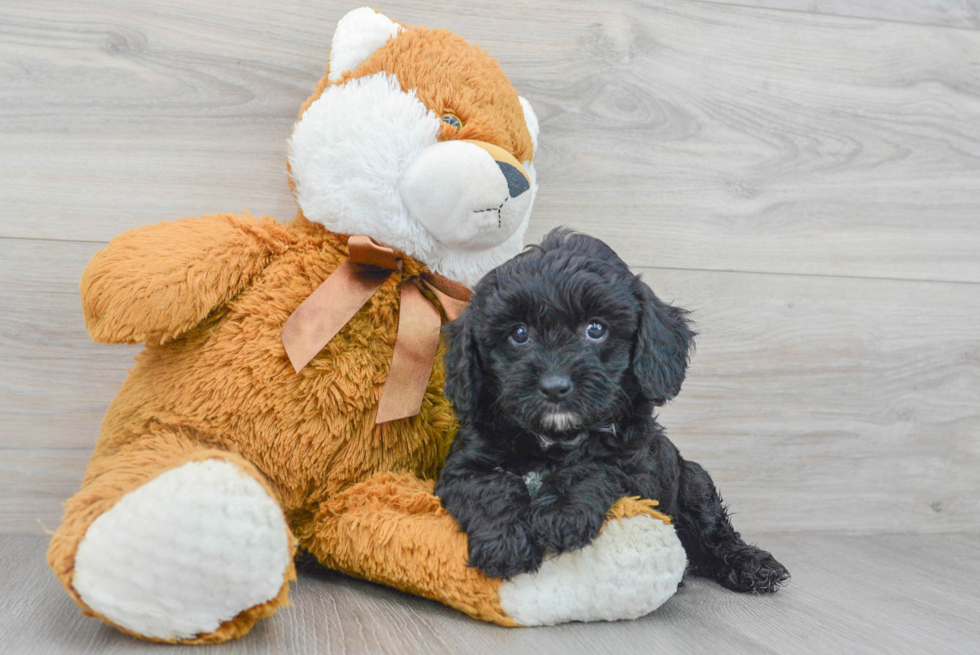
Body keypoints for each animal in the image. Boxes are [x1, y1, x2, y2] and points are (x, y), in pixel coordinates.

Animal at [436, 231, 788, 596]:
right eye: (519, 333)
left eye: (596, 329)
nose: (554, 387)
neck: (554, 439)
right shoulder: (466, 464)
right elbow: (488, 486)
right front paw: (504, 541)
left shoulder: (638, 466)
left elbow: (597, 468)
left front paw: (559, 514)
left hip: (695, 481)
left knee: (713, 533)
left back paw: (751, 565)